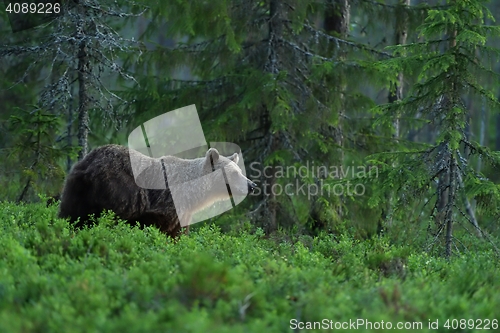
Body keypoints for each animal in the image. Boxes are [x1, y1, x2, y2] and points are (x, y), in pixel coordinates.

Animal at [59, 144, 256, 237]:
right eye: (234, 173)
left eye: (240, 171)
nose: (252, 185)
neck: (192, 194)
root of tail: (89, 164)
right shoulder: (164, 203)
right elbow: (156, 226)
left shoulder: (182, 212)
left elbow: (177, 233)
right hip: (118, 189)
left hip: (76, 189)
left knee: (71, 215)